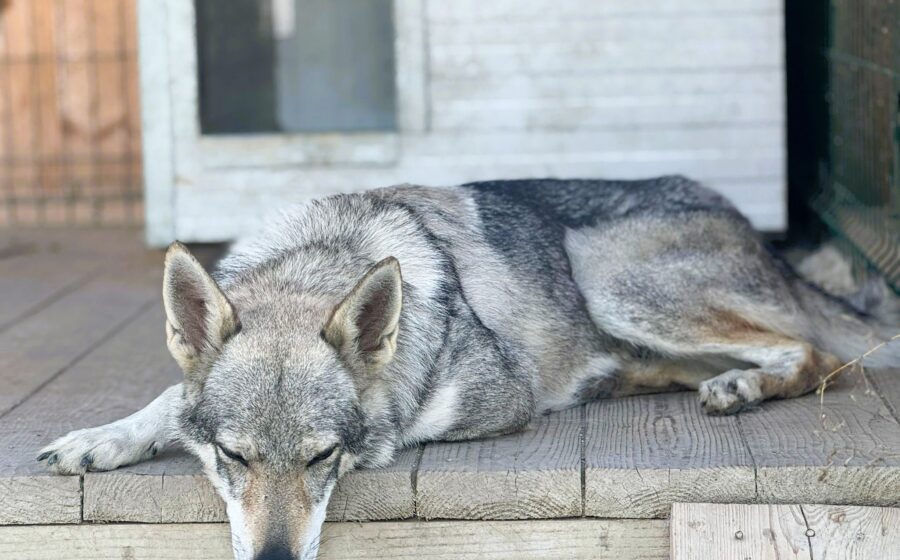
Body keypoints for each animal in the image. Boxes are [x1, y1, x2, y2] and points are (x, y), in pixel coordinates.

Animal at [38, 177, 899, 559]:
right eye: (234, 457)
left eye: (322, 458)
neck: (326, 258)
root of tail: (743, 219)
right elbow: (163, 404)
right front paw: (98, 439)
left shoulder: (494, 393)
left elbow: (396, 426)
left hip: (611, 283)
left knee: (818, 356)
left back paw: (742, 387)